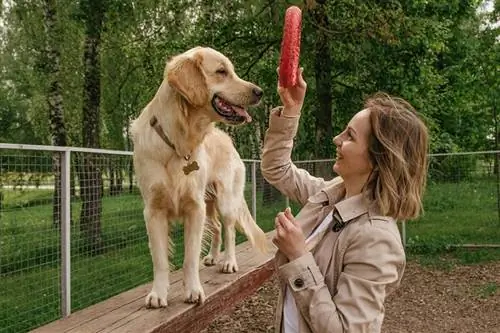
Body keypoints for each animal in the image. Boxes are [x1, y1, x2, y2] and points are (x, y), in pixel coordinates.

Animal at [131, 46, 268, 306]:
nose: (260, 92)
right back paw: (214, 257)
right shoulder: (153, 210)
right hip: (210, 202)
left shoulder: (195, 207)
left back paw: (228, 262)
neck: (177, 143)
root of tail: (229, 141)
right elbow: (160, 260)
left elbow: (190, 257)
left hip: (225, 200)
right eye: (222, 71)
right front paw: (158, 293)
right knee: (217, 227)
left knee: (229, 230)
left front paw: (193, 290)